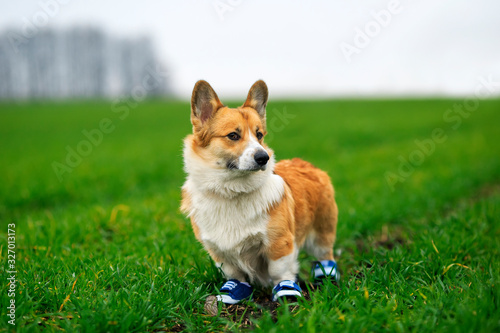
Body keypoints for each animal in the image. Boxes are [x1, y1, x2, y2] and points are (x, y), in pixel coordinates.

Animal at [181, 80, 340, 304]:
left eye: (259, 135)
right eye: (233, 135)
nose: (263, 157)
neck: (232, 191)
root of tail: (307, 164)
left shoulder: (279, 243)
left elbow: (279, 270)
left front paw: (286, 292)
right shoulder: (219, 250)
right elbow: (234, 274)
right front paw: (233, 292)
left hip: (322, 232)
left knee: (325, 257)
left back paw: (327, 277)